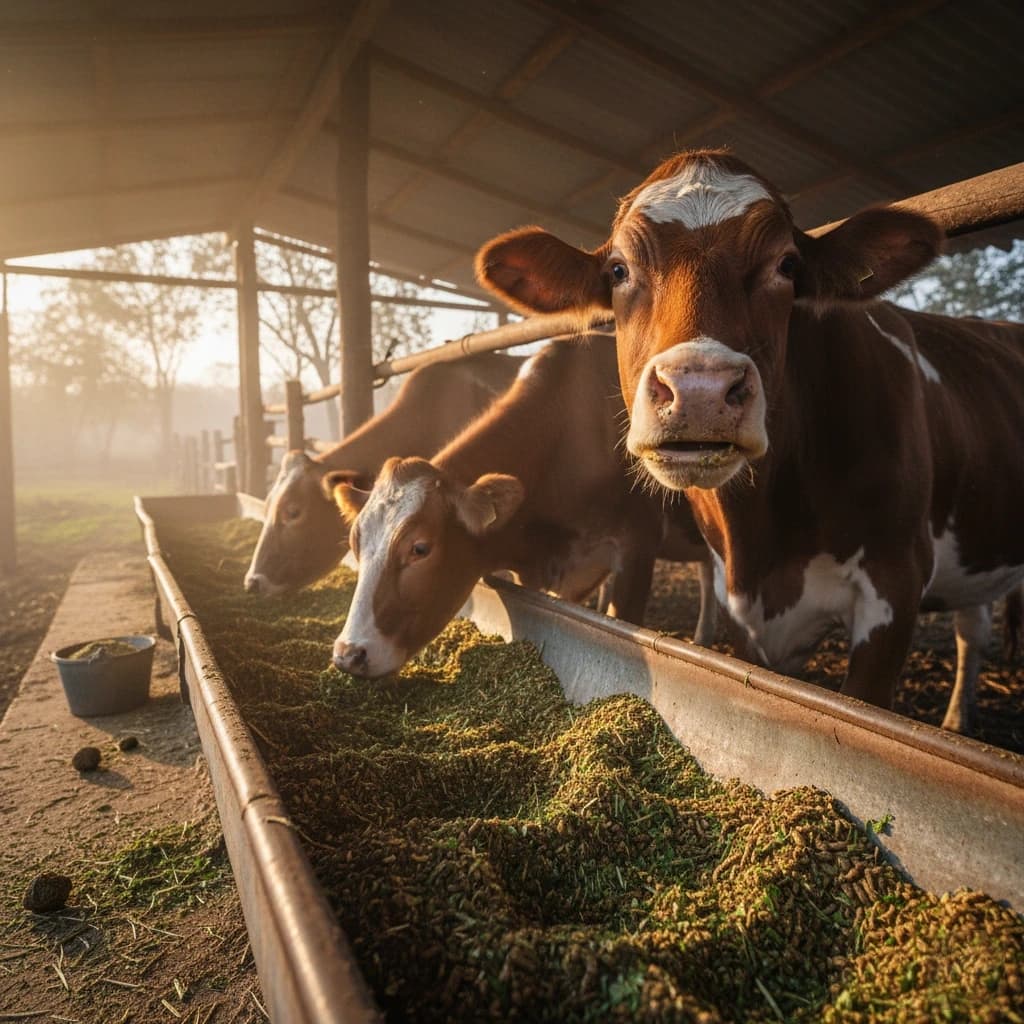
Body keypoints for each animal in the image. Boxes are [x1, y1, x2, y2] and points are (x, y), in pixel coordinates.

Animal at [475, 148, 1024, 734]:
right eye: (618, 269)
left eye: (787, 266)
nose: (699, 390)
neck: (764, 536)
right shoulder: (739, 604)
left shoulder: (895, 583)